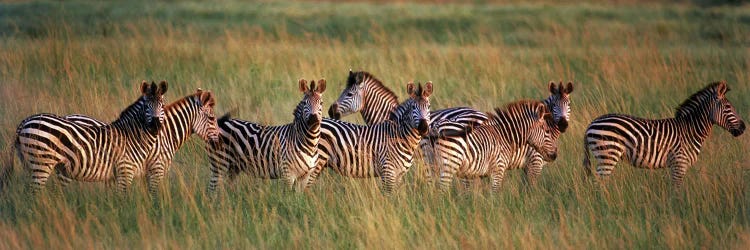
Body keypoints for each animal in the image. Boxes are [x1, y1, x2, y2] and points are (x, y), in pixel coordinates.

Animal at [14, 81, 167, 192]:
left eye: (162, 106)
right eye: (146, 107)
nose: (155, 126)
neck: (131, 135)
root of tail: (26, 121)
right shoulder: (125, 170)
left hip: (31, 163)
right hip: (42, 162)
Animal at [64, 88, 220, 195]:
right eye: (212, 118)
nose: (219, 141)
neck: (166, 134)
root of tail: (68, 116)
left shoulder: (148, 171)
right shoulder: (156, 168)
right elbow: (153, 194)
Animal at [306, 81, 434, 194]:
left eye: (428, 106)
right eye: (413, 107)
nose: (423, 127)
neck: (399, 135)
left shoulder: (399, 174)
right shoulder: (388, 172)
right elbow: (388, 197)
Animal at [432, 99, 560, 191]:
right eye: (547, 131)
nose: (554, 155)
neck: (504, 136)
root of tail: (436, 127)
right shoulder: (498, 168)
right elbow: (495, 194)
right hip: (449, 164)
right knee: (443, 190)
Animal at [584, 80, 748, 188]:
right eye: (728, 107)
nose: (744, 128)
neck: (690, 130)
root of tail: (591, 124)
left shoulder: (675, 165)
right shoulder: (680, 163)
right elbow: (676, 191)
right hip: (608, 155)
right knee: (598, 183)